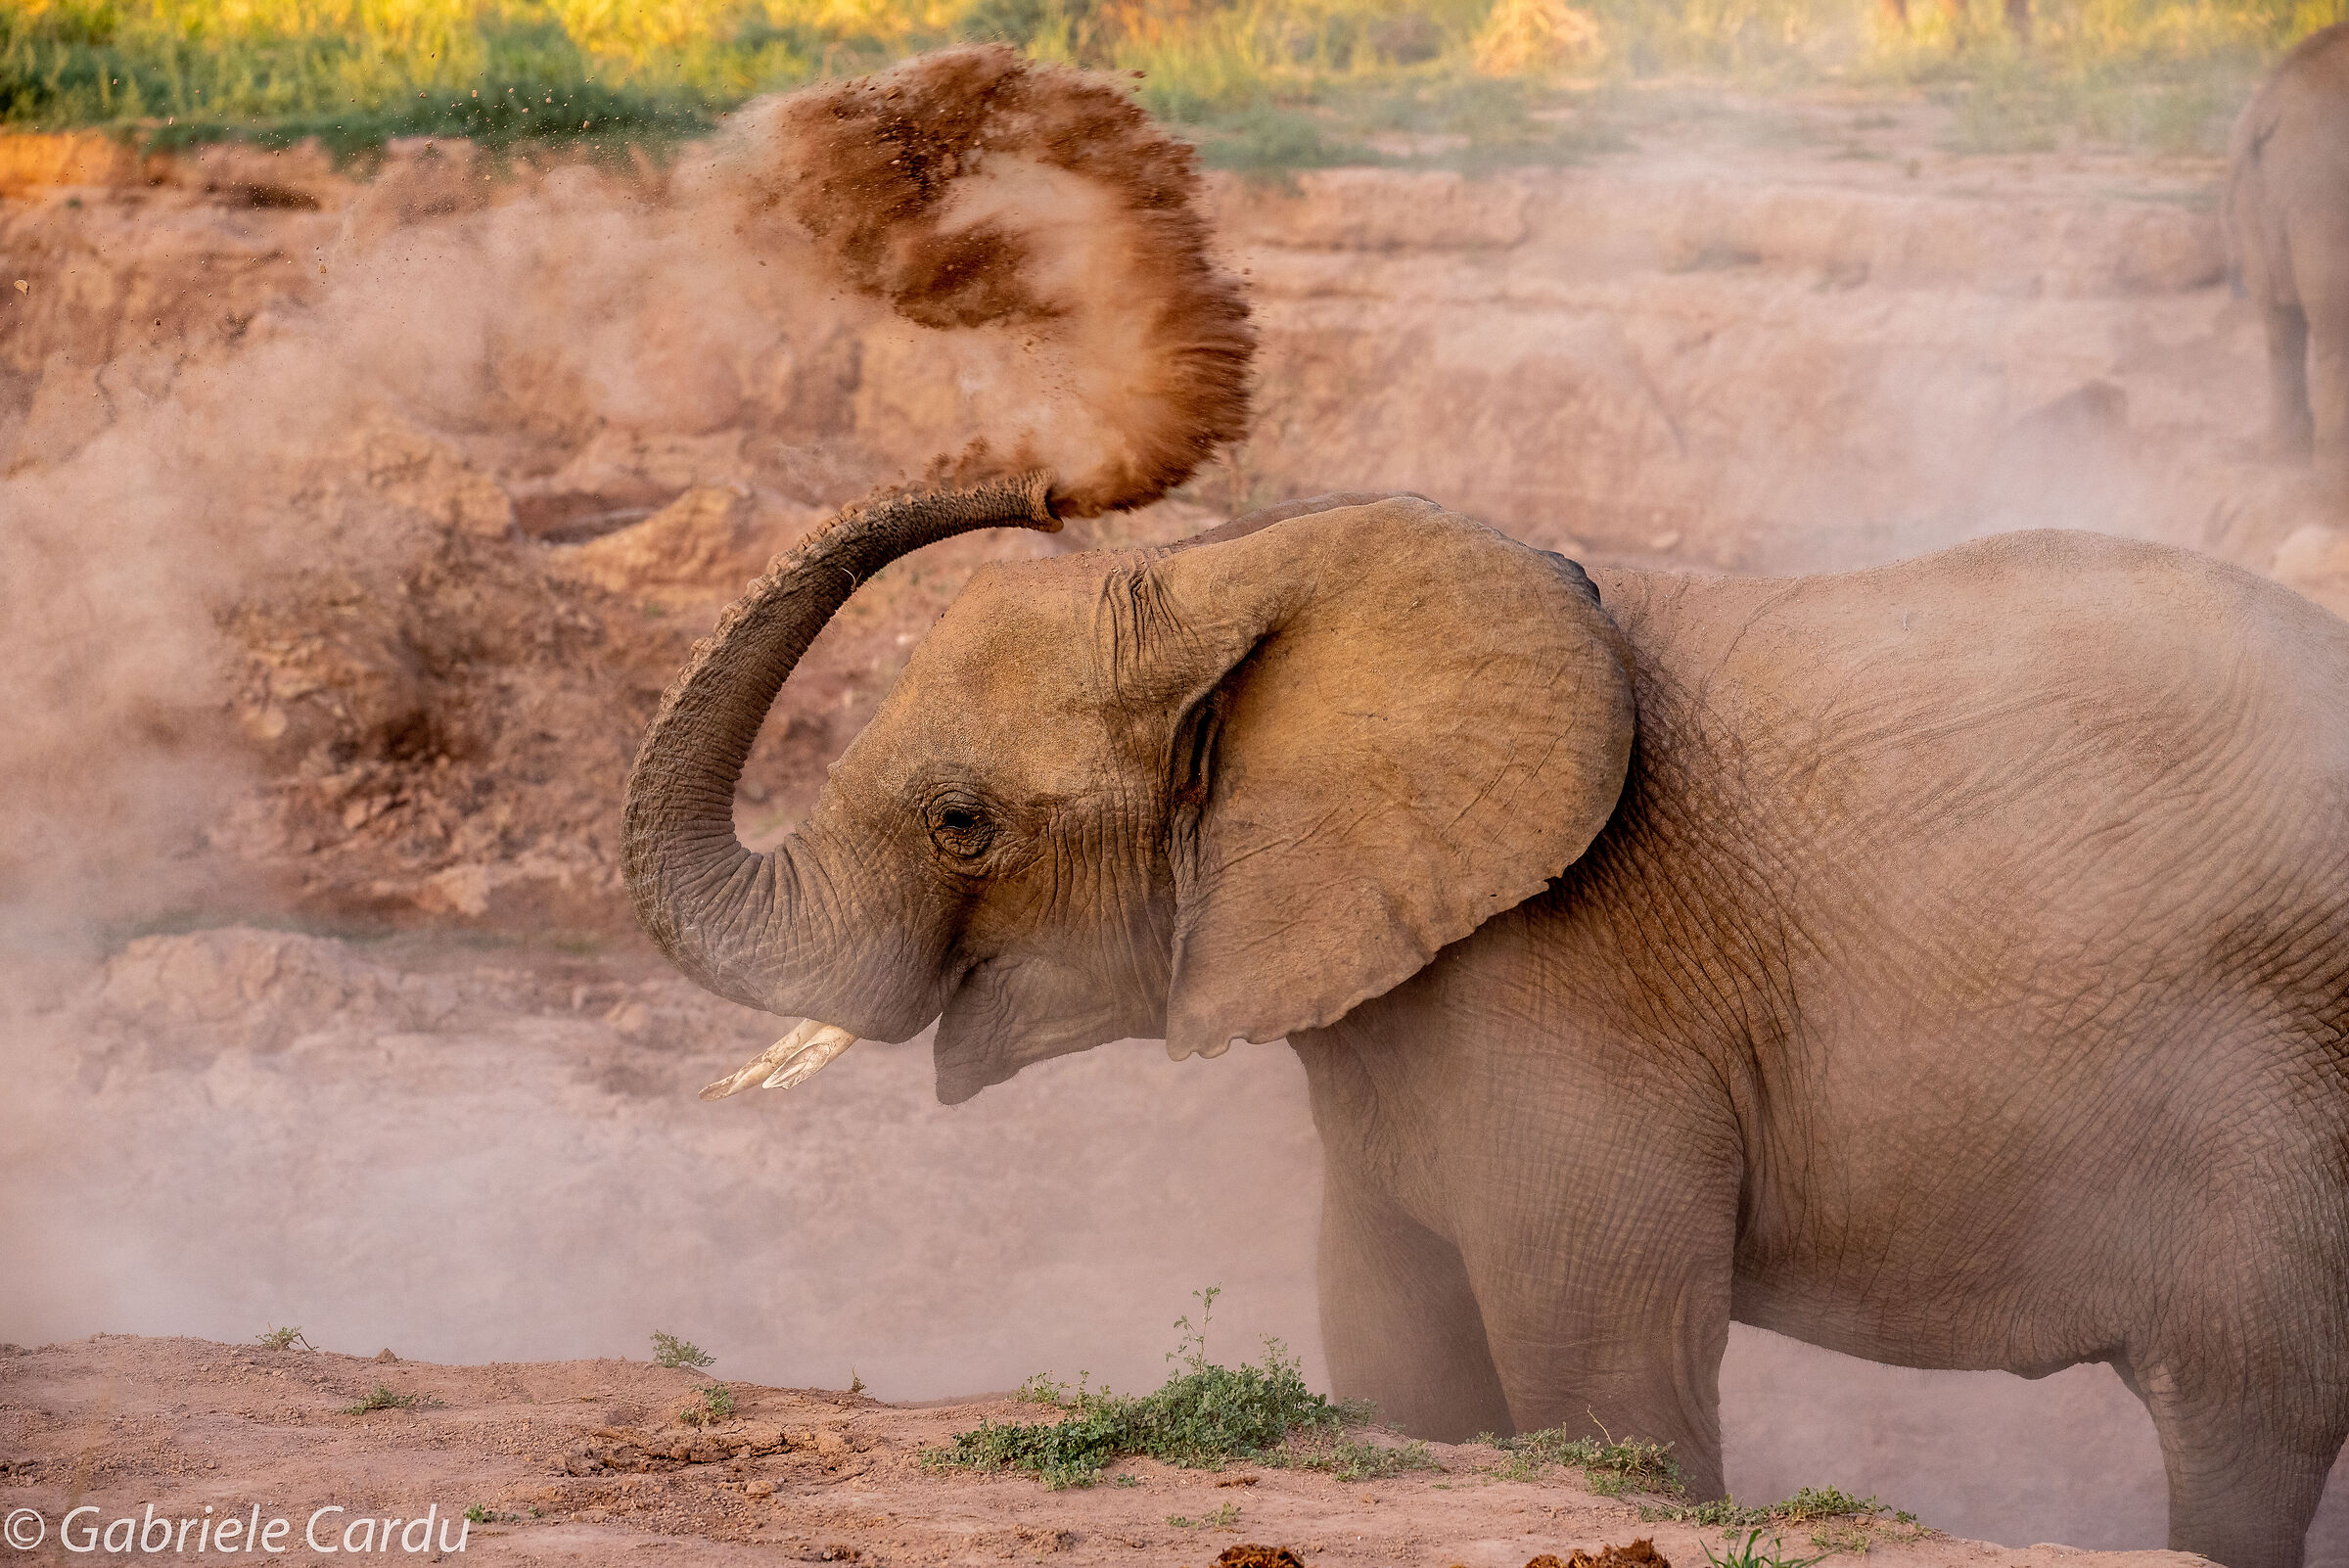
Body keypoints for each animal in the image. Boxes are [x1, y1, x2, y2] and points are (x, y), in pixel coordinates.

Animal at [623, 478, 2349, 1568]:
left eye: (963, 822)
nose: (1037, 484)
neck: (1252, 569)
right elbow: (1401, 1350)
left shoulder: (1574, 983)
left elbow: (1606, 1371)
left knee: (2245, 1424)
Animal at [2227, 23, 2349, 478]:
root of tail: (2266, 112)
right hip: (2322, 199)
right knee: (2334, 331)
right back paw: (2331, 467)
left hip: (2259, 201)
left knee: (2279, 323)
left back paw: (2285, 455)